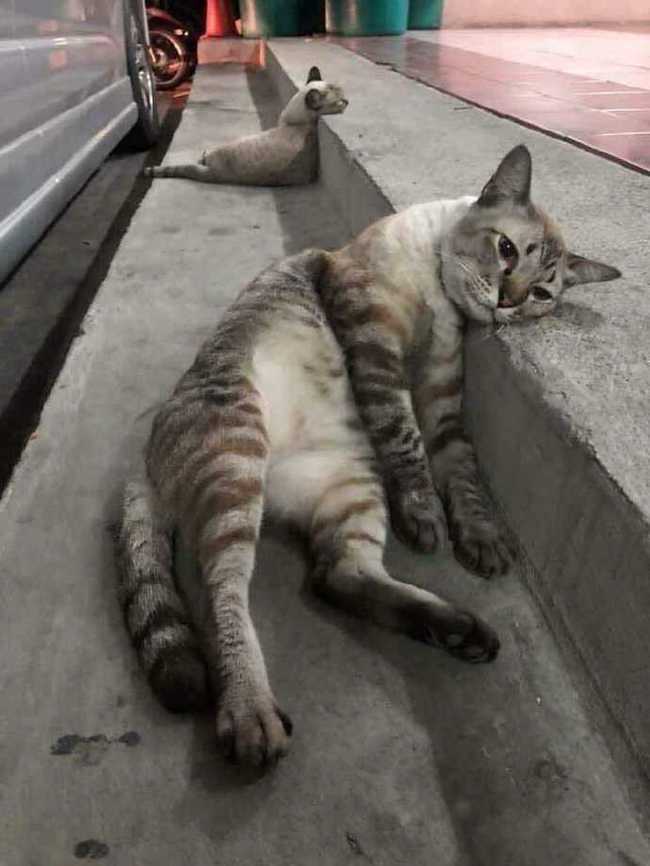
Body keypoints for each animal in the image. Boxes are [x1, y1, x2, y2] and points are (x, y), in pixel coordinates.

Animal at [117, 145, 620, 766]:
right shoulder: (374, 342)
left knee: (339, 574)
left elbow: (459, 468)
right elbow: (405, 440)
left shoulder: (441, 394)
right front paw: (427, 514)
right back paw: (251, 712)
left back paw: (460, 630)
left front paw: (478, 536)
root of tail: (142, 458)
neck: (438, 284)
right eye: (506, 250)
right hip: (237, 461)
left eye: (543, 294)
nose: (508, 301)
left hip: (353, 486)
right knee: (223, 592)